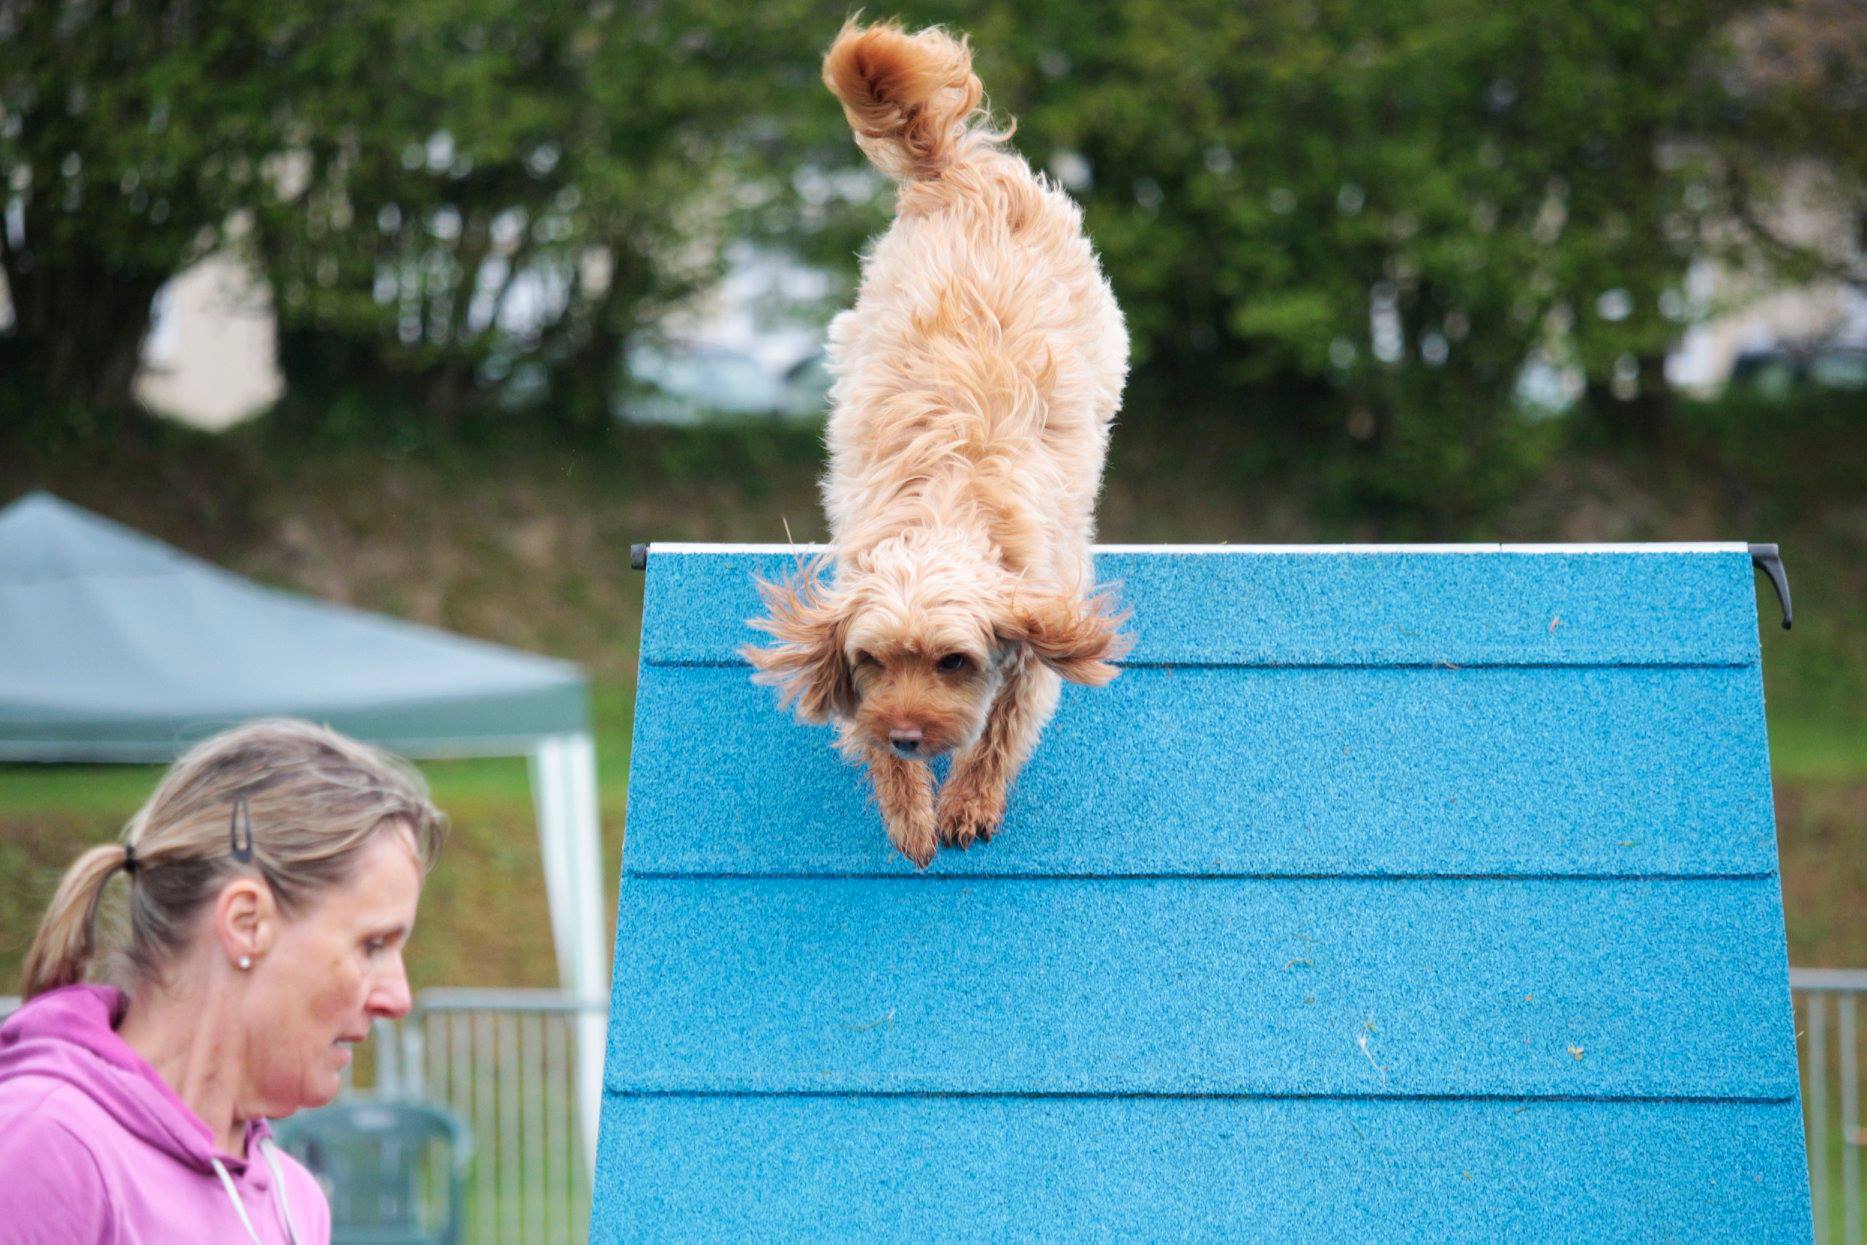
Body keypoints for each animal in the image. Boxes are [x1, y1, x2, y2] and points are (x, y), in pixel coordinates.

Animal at [739, 17, 1120, 866]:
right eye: (874, 660)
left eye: (954, 662)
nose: (911, 735)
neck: (947, 504)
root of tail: (956, 169)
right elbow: (865, 731)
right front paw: (908, 809)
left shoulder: (1034, 621)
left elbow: (1004, 724)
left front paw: (968, 800)